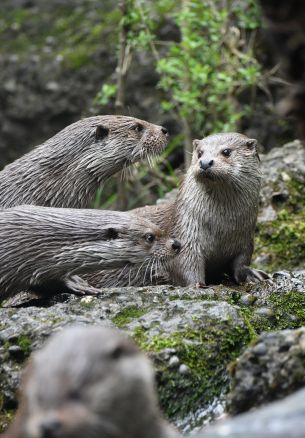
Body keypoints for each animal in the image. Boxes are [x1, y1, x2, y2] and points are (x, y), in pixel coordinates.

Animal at [85, 131, 266, 288]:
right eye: (200, 153)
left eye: (226, 151)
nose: (205, 162)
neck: (222, 228)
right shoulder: (186, 232)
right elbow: (185, 263)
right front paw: (197, 285)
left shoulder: (245, 239)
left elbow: (241, 262)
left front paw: (253, 275)